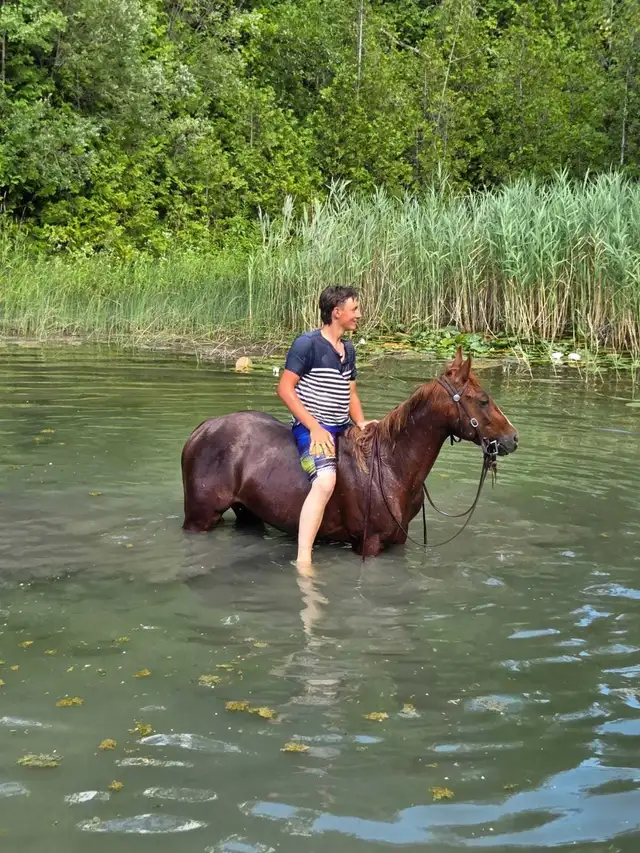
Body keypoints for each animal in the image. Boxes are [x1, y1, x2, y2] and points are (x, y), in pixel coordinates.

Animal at [181, 347, 518, 557]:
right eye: (483, 400)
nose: (512, 439)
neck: (392, 466)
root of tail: (203, 429)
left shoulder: (398, 541)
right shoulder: (370, 544)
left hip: (248, 514)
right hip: (199, 519)